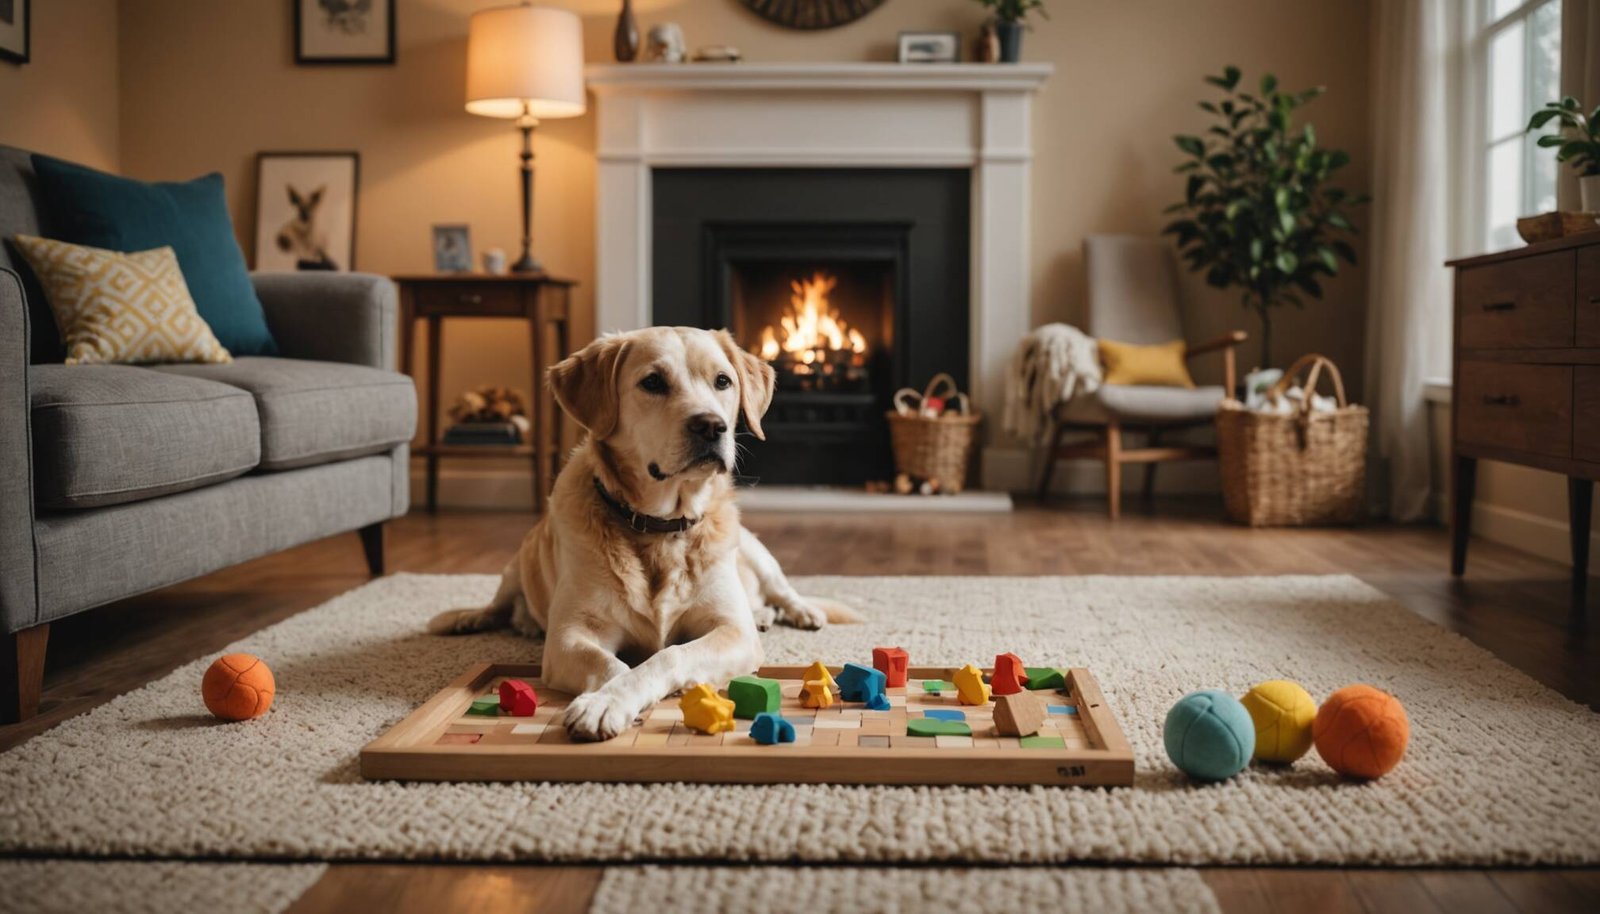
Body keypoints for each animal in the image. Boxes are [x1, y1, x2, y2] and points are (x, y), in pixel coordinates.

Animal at [422, 324, 851, 739]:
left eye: (723, 381)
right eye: (653, 382)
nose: (712, 426)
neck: (661, 529)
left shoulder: (734, 632)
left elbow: (671, 653)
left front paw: (610, 701)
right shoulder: (568, 637)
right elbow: (614, 667)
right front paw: (604, 701)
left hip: (754, 550)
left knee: (781, 591)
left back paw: (799, 612)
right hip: (517, 563)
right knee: (500, 604)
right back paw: (481, 618)